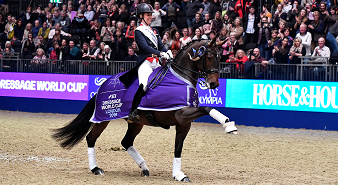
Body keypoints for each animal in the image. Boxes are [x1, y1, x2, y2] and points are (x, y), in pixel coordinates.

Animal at [52, 38, 238, 182]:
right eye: (209, 56)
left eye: (220, 56)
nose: (214, 84)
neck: (181, 78)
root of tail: (103, 84)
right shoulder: (181, 114)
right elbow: (207, 107)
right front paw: (228, 125)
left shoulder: (184, 123)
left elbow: (178, 148)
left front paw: (178, 174)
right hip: (103, 118)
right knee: (91, 138)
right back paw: (96, 169)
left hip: (136, 123)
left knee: (126, 142)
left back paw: (144, 168)